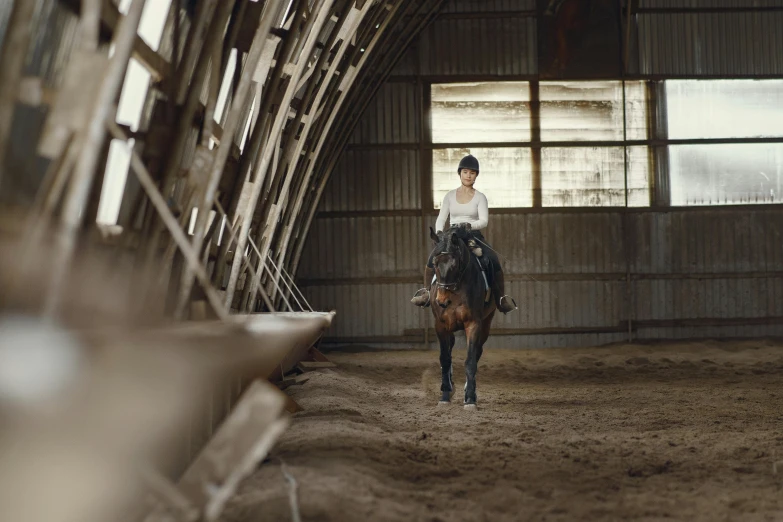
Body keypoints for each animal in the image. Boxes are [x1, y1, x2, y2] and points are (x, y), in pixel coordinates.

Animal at [428, 225, 496, 408]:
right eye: (435, 264)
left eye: (455, 264)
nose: (441, 301)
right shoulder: (440, 325)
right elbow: (445, 359)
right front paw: (445, 395)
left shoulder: (473, 324)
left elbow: (471, 360)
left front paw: (470, 398)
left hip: (486, 324)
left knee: (477, 352)